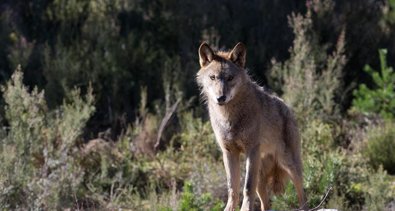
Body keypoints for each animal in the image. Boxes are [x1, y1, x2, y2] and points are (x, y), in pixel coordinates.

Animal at [197, 42, 306, 210]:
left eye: (230, 78)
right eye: (212, 77)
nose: (221, 98)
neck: (229, 117)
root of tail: (288, 109)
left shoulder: (251, 150)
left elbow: (247, 187)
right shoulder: (228, 152)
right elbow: (232, 188)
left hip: (289, 165)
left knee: (303, 195)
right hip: (261, 177)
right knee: (266, 204)